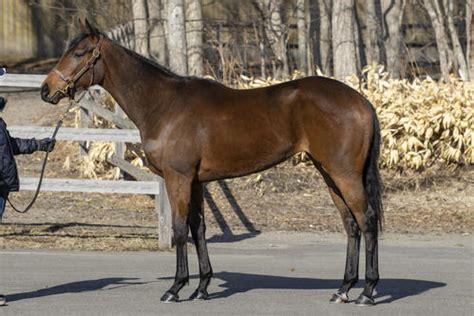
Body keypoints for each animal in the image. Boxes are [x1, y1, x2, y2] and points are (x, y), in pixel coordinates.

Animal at [39, 20, 382, 306]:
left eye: (78, 53)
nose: (46, 90)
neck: (165, 105)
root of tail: (362, 102)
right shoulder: (195, 181)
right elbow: (198, 228)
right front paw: (202, 287)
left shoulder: (177, 177)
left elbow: (179, 229)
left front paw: (175, 288)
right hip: (329, 174)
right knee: (350, 224)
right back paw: (343, 289)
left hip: (344, 174)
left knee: (366, 220)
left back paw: (367, 291)